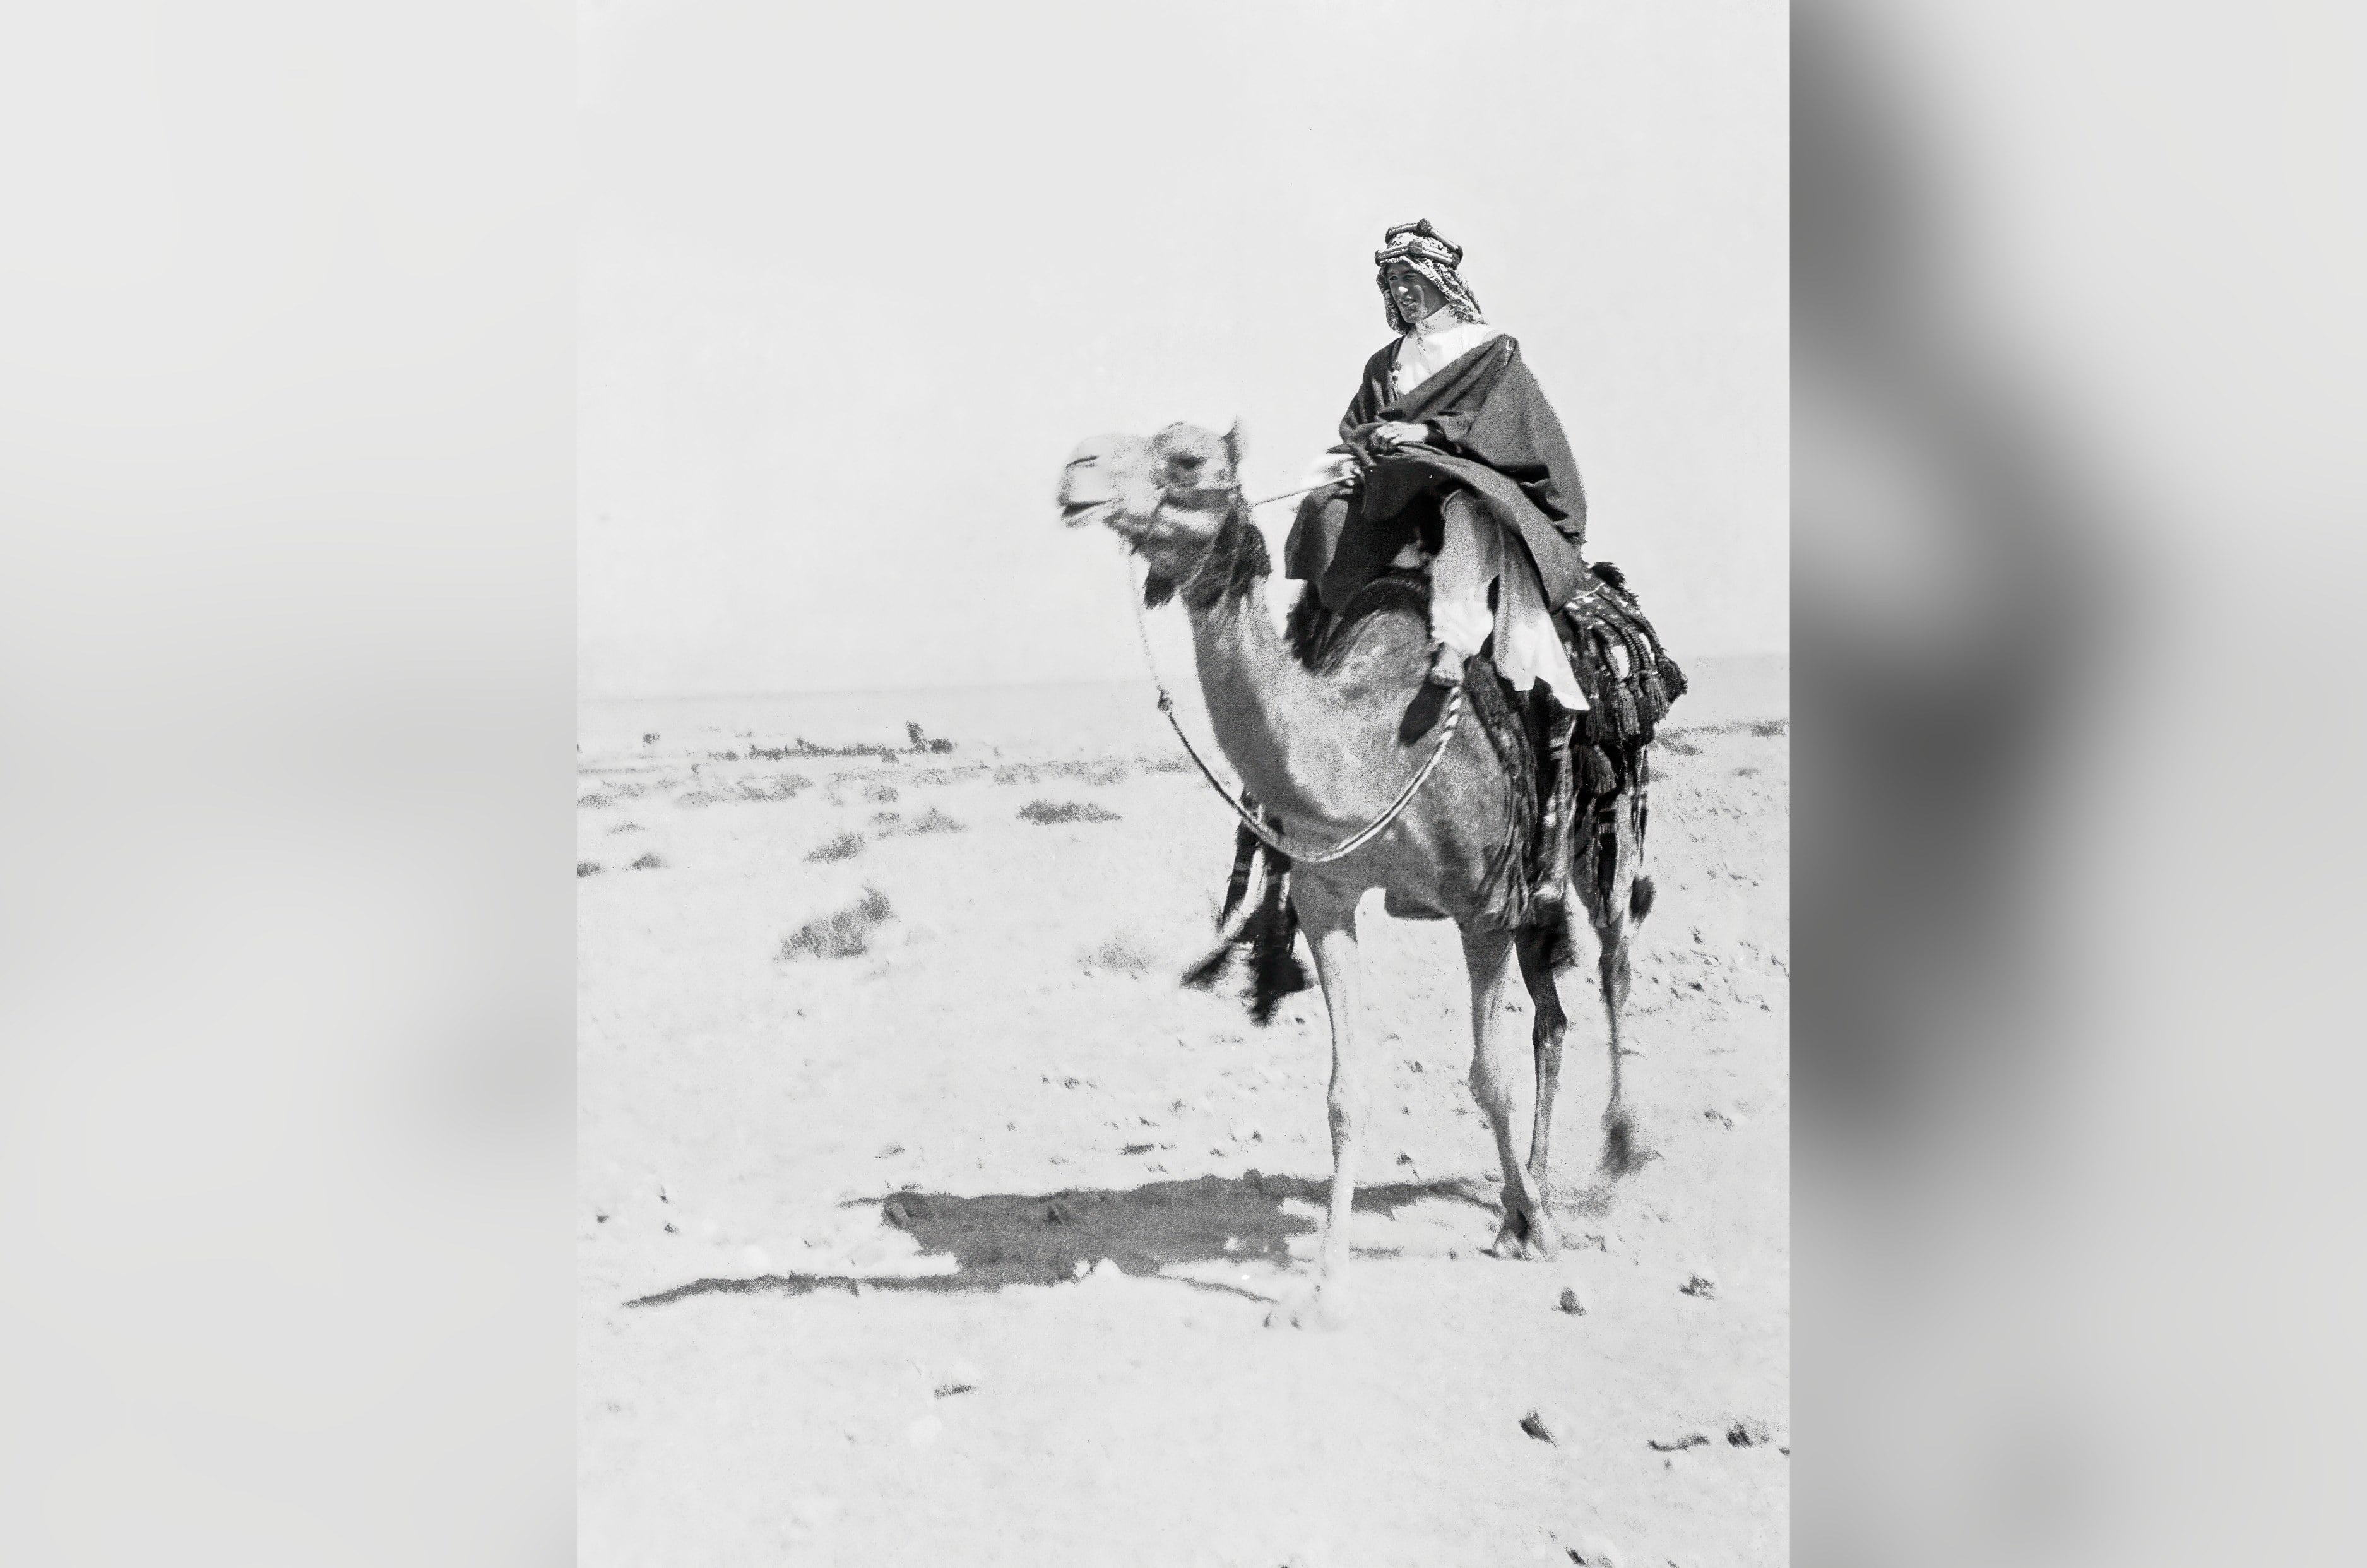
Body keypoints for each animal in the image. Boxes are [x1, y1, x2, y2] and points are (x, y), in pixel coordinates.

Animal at [1058, 422, 1661, 1327]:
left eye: (1188, 458)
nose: (1076, 472)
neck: (1376, 745)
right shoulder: (1326, 895)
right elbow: (1346, 1093)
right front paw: (1322, 1287)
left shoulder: (1481, 907)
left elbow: (1488, 1079)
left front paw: (1543, 1233)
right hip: (1532, 893)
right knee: (1552, 1019)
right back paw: (1526, 1200)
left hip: (1596, 827)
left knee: (1615, 964)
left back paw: (1613, 1157)